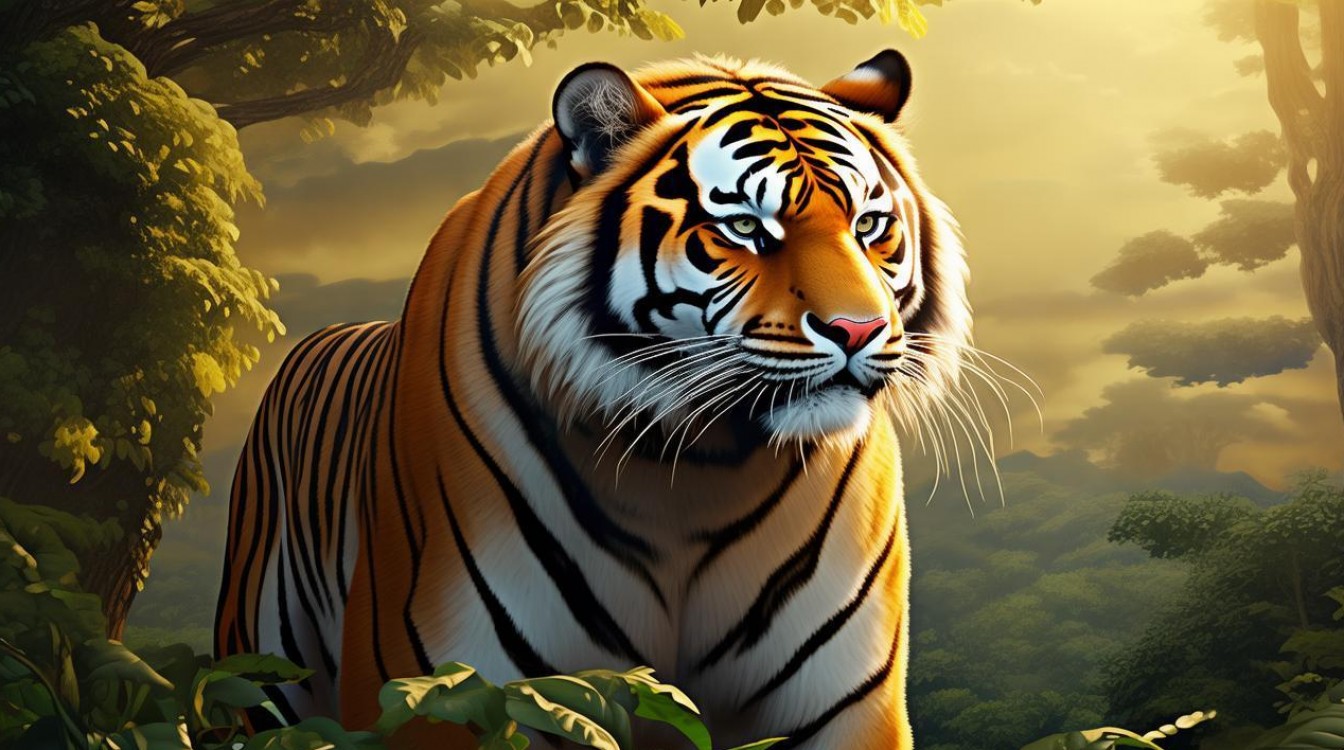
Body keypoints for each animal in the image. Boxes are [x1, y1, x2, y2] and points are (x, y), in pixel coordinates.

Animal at [215, 50, 971, 750]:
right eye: (745, 229)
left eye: (869, 225)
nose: (859, 330)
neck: (700, 472)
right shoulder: (438, 693)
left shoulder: (844, 710)